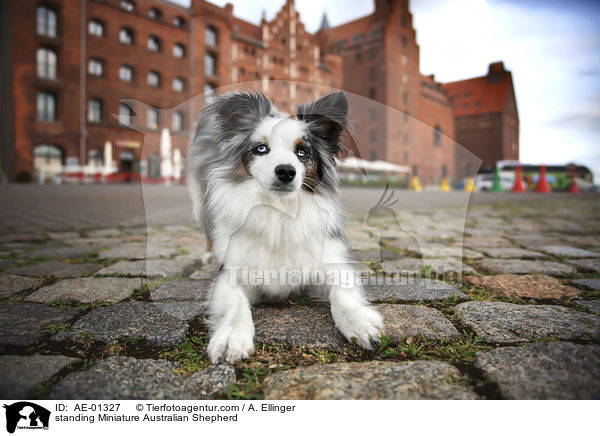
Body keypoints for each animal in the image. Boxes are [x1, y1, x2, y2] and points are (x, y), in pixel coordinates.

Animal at [188, 90, 384, 362]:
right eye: (261, 149)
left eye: (302, 152)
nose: (286, 171)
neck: (280, 210)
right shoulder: (232, 272)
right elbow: (236, 304)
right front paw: (231, 337)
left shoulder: (328, 264)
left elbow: (341, 293)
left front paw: (360, 323)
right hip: (199, 197)